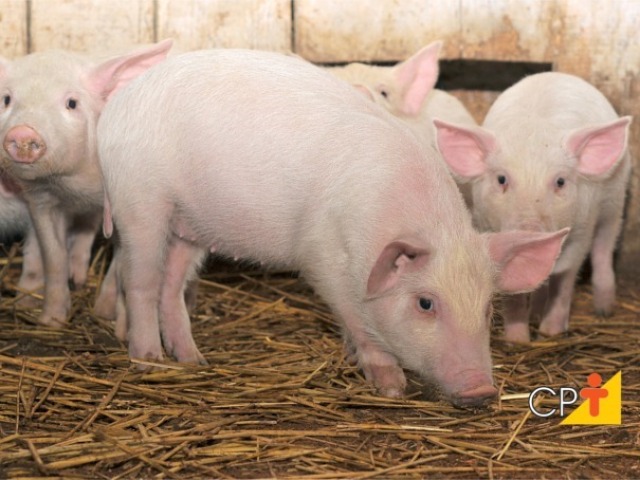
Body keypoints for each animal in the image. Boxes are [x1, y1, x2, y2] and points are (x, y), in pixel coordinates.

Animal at [0, 40, 174, 326]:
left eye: (72, 103)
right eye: (6, 99)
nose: (23, 133)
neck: (76, 184)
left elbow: (121, 263)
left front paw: (104, 314)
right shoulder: (40, 202)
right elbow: (54, 256)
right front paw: (51, 320)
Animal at [436, 70, 632, 342]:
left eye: (560, 181)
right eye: (501, 179)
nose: (529, 229)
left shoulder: (582, 226)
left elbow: (564, 277)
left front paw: (551, 332)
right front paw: (517, 339)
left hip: (614, 201)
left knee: (603, 249)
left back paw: (603, 310)